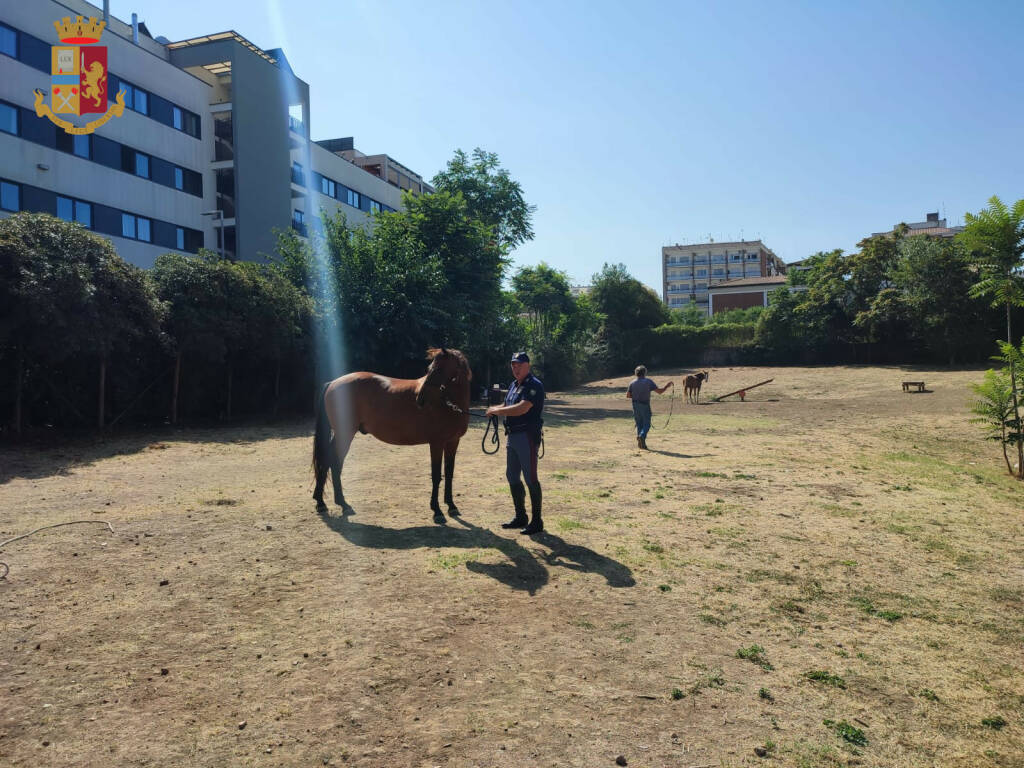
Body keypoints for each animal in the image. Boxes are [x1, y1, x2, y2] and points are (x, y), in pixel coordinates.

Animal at [311, 348, 471, 524]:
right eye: (429, 369)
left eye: (439, 369)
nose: (420, 400)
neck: (448, 404)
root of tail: (332, 382)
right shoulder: (436, 443)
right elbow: (436, 476)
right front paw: (437, 511)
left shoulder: (453, 442)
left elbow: (449, 473)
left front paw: (451, 506)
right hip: (344, 434)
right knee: (332, 461)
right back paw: (330, 503)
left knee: (331, 462)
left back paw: (331, 503)